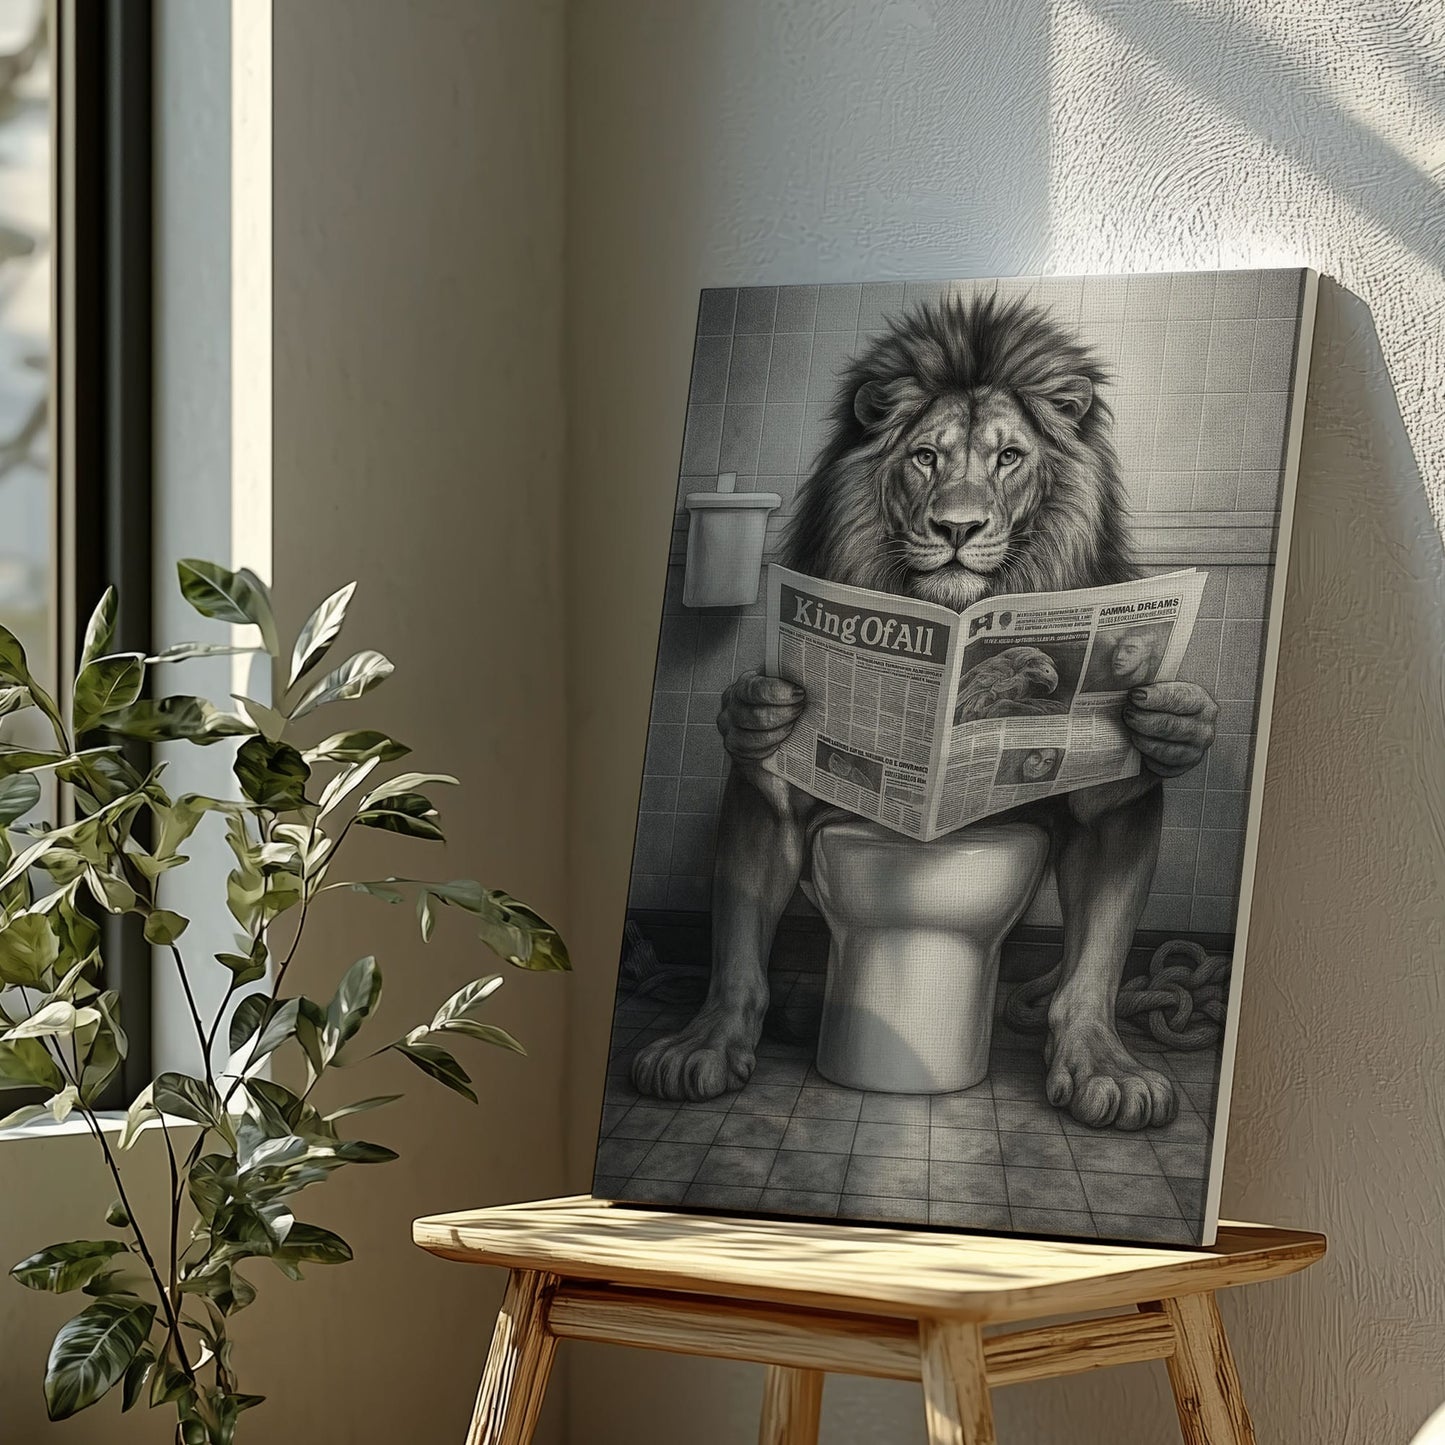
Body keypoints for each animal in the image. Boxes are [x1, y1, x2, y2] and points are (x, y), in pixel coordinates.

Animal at [632, 293, 1218, 1131]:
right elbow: (740, 930)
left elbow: (1096, 958)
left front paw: (1105, 1067)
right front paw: (703, 1045)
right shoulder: (778, 787)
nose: (957, 528)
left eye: (1008, 458)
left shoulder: (1109, 800)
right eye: (924, 458)